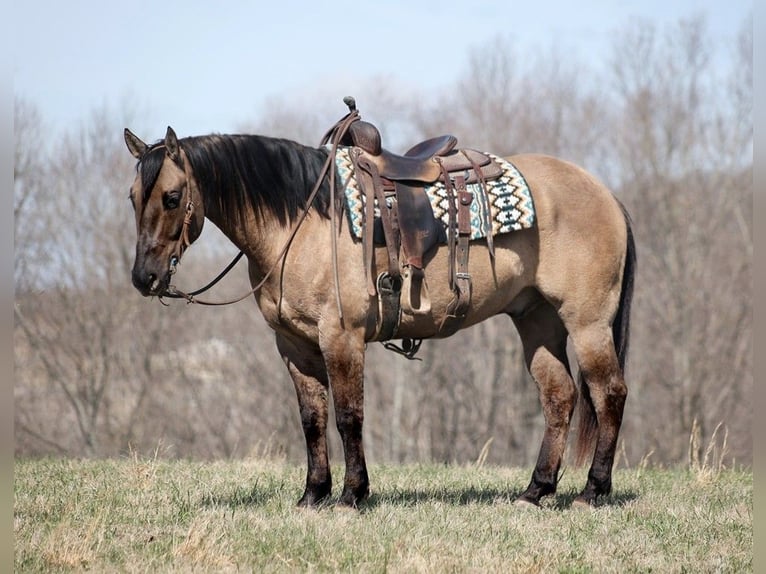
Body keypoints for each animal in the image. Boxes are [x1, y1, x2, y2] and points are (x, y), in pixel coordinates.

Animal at [124, 101, 636, 510]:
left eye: (172, 196)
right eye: (132, 197)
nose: (143, 278)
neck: (304, 220)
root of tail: (606, 193)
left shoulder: (342, 337)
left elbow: (349, 416)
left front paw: (352, 494)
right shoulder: (293, 345)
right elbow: (312, 419)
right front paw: (313, 494)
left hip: (587, 323)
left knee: (609, 393)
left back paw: (593, 490)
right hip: (537, 321)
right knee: (559, 396)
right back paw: (536, 490)